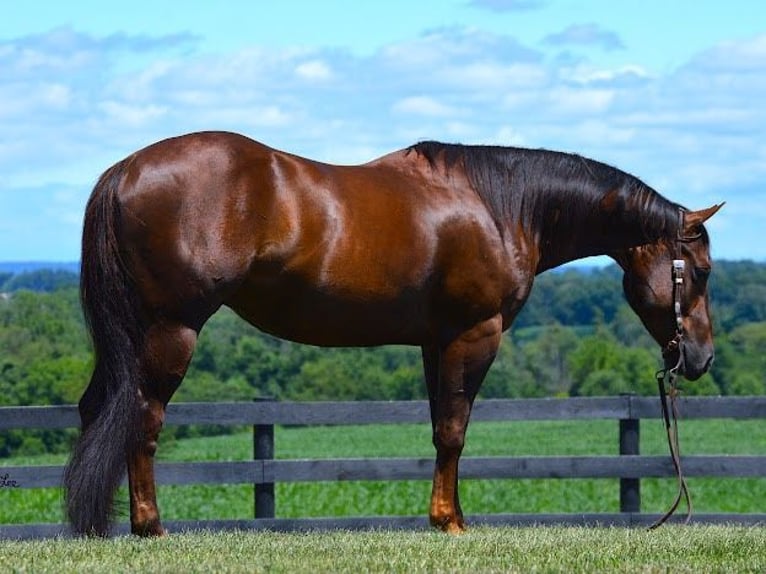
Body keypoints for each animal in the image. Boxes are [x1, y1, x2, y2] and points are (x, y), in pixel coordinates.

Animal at [63, 130, 724, 536]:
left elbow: (441, 430)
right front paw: (449, 522)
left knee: (99, 409)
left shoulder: (436, 342)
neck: (501, 206)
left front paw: (448, 516)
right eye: (701, 271)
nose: (700, 358)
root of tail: (125, 171)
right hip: (170, 331)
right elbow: (455, 431)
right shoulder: (473, 335)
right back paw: (149, 526)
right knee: (143, 420)